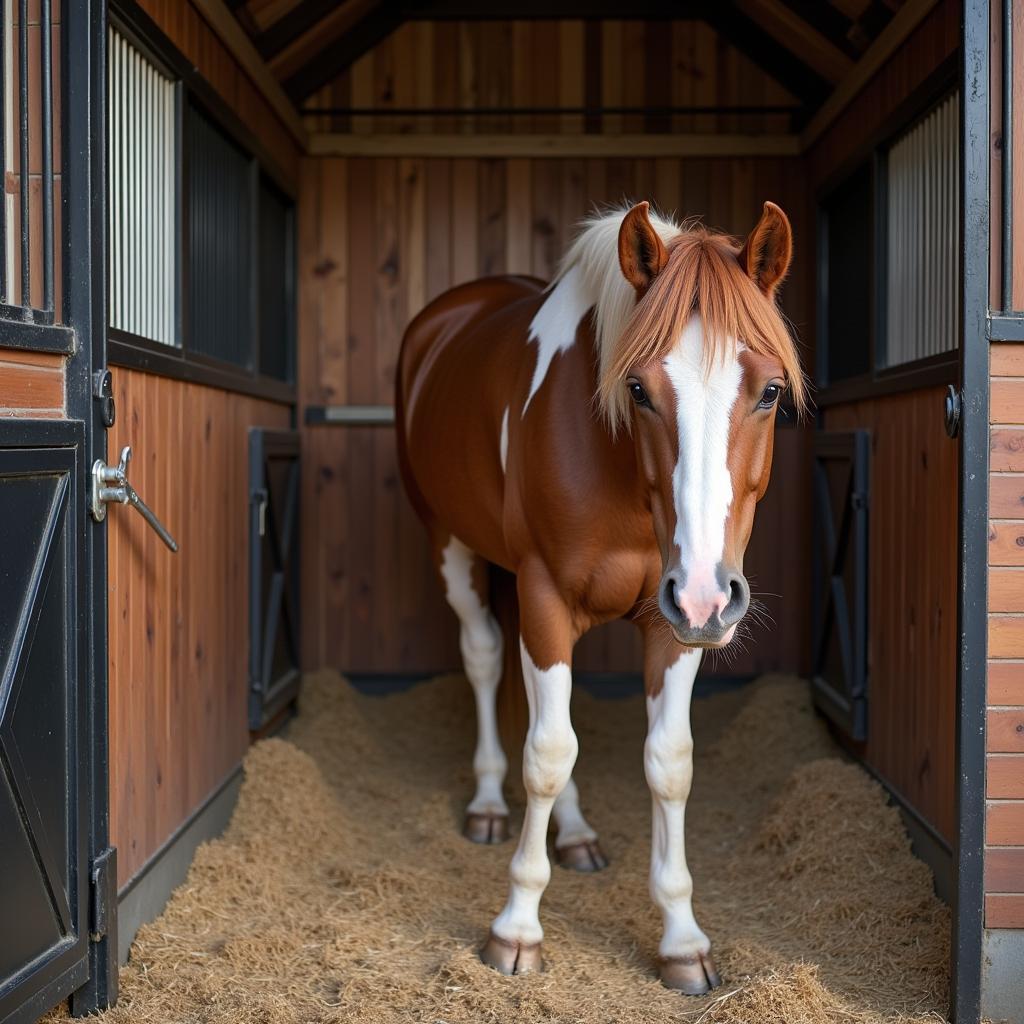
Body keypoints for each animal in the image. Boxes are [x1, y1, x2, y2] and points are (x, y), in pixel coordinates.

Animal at [395, 197, 802, 991]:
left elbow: (667, 762)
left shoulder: (673, 624)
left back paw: (576, 832)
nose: (709, 593)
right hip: (451, 547)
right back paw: (488, 802)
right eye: (637, 388)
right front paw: (516, 928)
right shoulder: (548, 598)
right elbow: (549, 753)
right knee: (485, 662)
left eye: (769, 392)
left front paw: (682, 940)